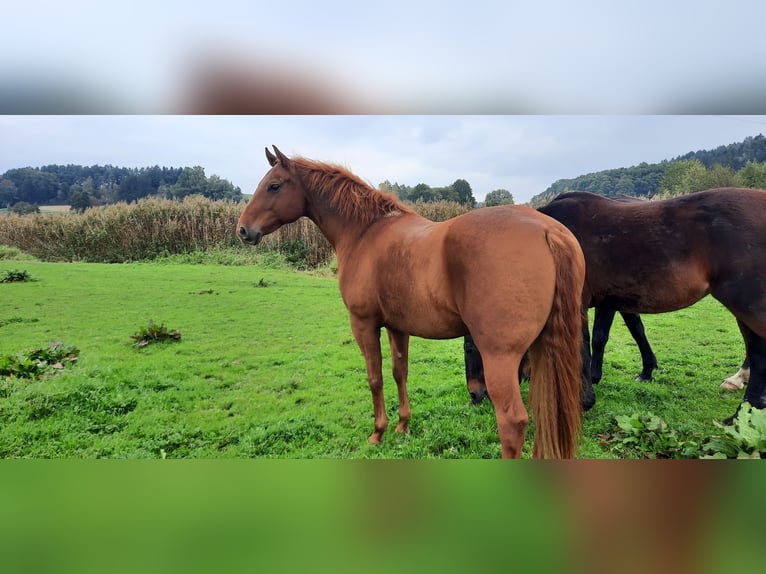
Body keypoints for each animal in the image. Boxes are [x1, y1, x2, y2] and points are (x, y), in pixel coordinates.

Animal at [237, 146, 586, 458]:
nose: (243, 230)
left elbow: (375, 377)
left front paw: (378, 433)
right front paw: (403, 425)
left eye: (274, 185)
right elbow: (399, 372)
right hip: (543, 350)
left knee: (513, 421)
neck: (366, 232)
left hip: (500, 356)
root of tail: (547, 230)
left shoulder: (364, 324)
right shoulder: (397, 327)